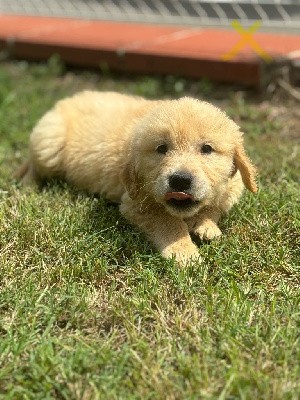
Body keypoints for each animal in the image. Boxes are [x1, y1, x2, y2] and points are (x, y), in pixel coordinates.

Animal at [21, 91, 256, 266]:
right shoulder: (136, 202)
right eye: (161, 148)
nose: (179, 180)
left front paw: (205, 224)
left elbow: (214, 207)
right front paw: (184, 251)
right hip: (49, 144)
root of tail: (65, 101)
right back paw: (27, 186)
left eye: (207, 149)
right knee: (33, 167)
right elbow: (169, 222)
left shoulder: (230, 189)